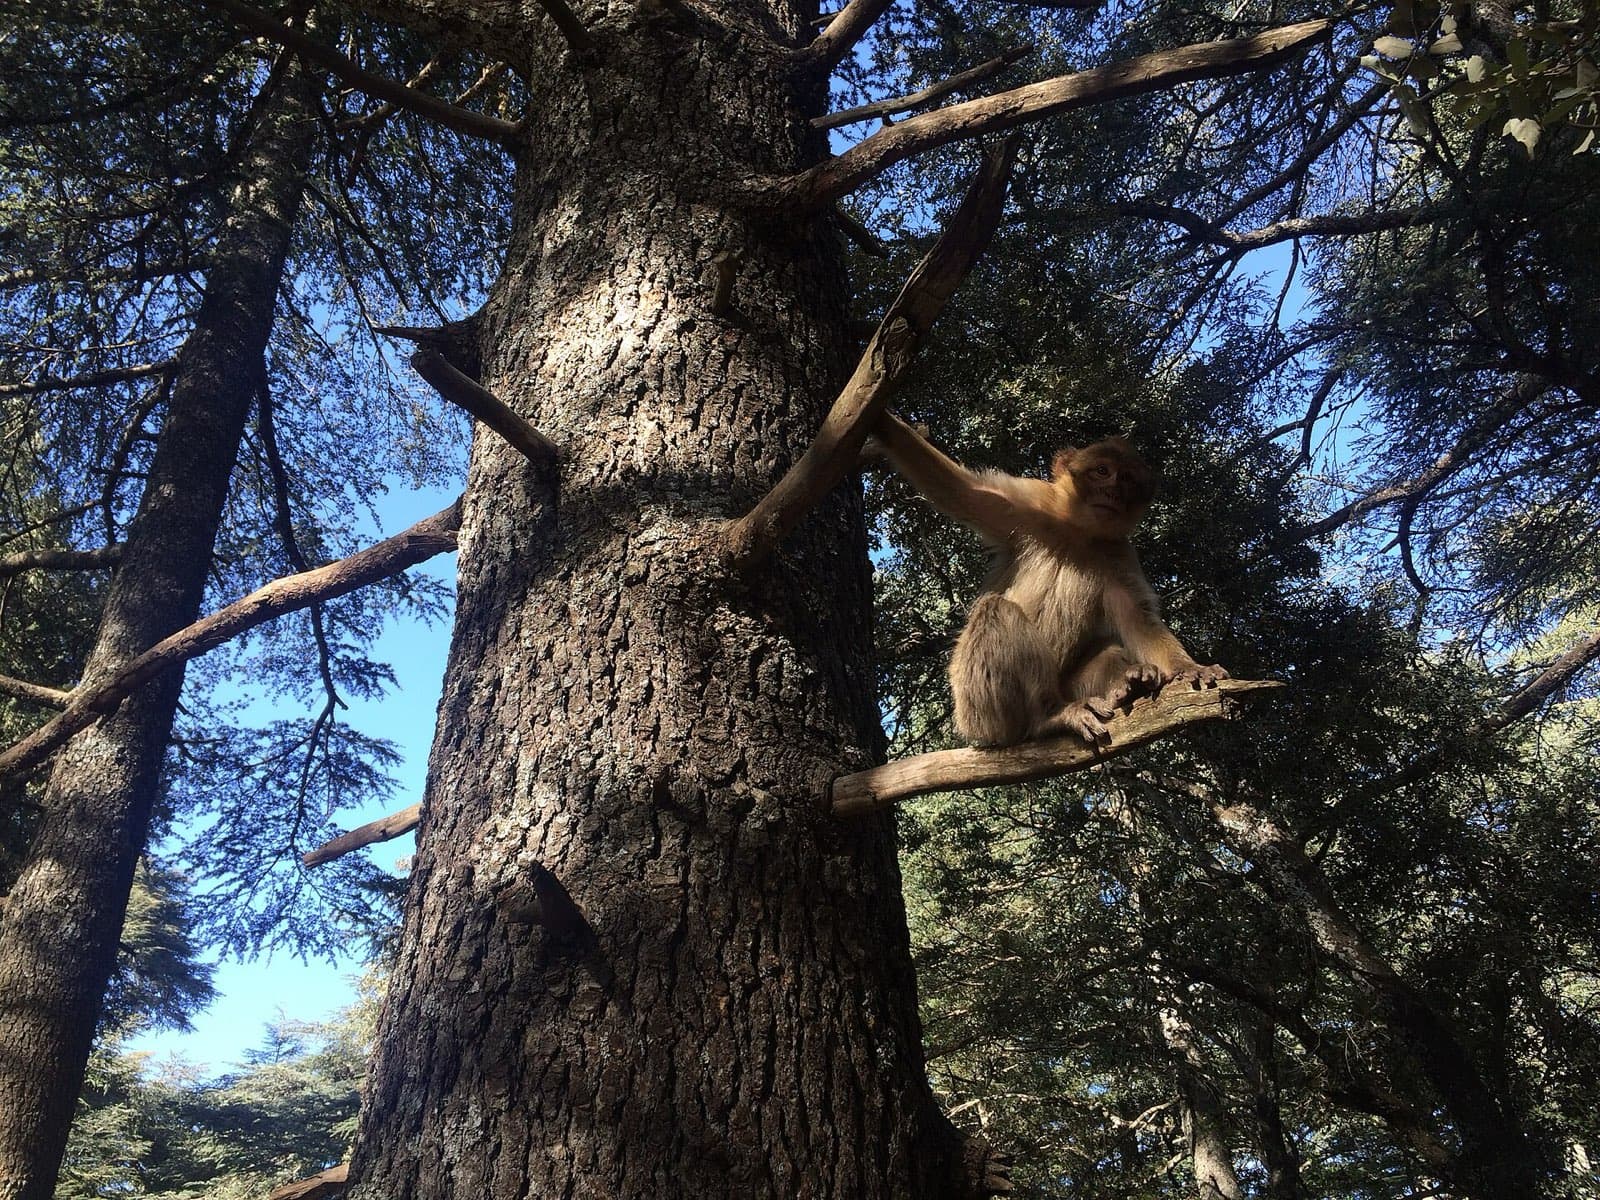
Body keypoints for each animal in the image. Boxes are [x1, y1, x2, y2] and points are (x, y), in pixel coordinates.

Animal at [869, 411, 1227, 747]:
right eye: (1102, 471)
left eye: (1126, 478)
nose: (1113, 492)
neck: (1078, 532)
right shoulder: (1030, 504)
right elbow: (963, 491)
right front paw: (881, 420)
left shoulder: (1120, 554)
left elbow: (1137, 617)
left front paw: (1189, 667)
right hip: (976, 708)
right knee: (997, 611)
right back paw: (1050, 717)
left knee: (1106, 648)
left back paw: (1130, 683)